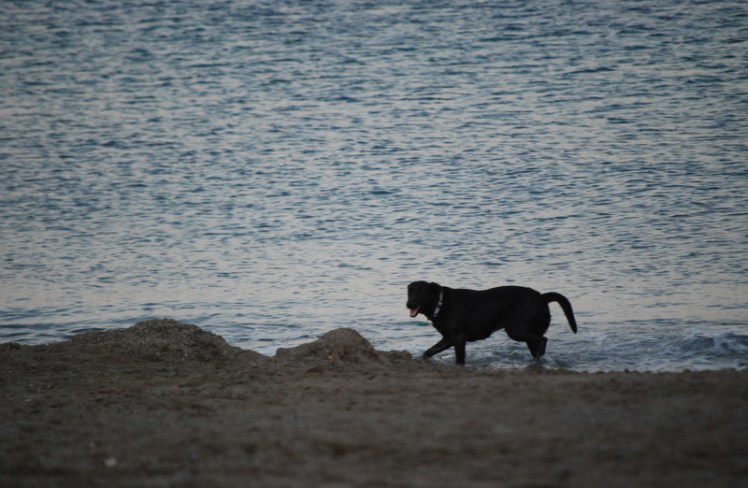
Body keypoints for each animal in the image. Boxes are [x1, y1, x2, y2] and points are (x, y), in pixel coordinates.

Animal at [406, 281, 577, 365]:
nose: (409, 304)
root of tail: (541, 297)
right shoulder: (448, 339)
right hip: (527, 332)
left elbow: (459, 359)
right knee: (538, 344)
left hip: (516, 330)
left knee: (543, 339)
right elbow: (429, 351)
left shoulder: (459, 339)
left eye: (421, 292)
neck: (441, 303)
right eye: (410, 291)